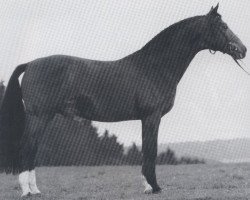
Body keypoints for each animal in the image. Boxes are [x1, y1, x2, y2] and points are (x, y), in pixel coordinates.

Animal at [0, 4, 247, 197]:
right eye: (223, 27)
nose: (243, 50)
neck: (154, 67)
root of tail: (31, 64)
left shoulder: (146, 119)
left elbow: (147, 150)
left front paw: (148, 187)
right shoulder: (151, 116)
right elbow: (150, 150)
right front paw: (155, 187)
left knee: (32, 149)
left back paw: (35, 190)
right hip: (39, 116)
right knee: (27, 147)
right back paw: (28, 191)